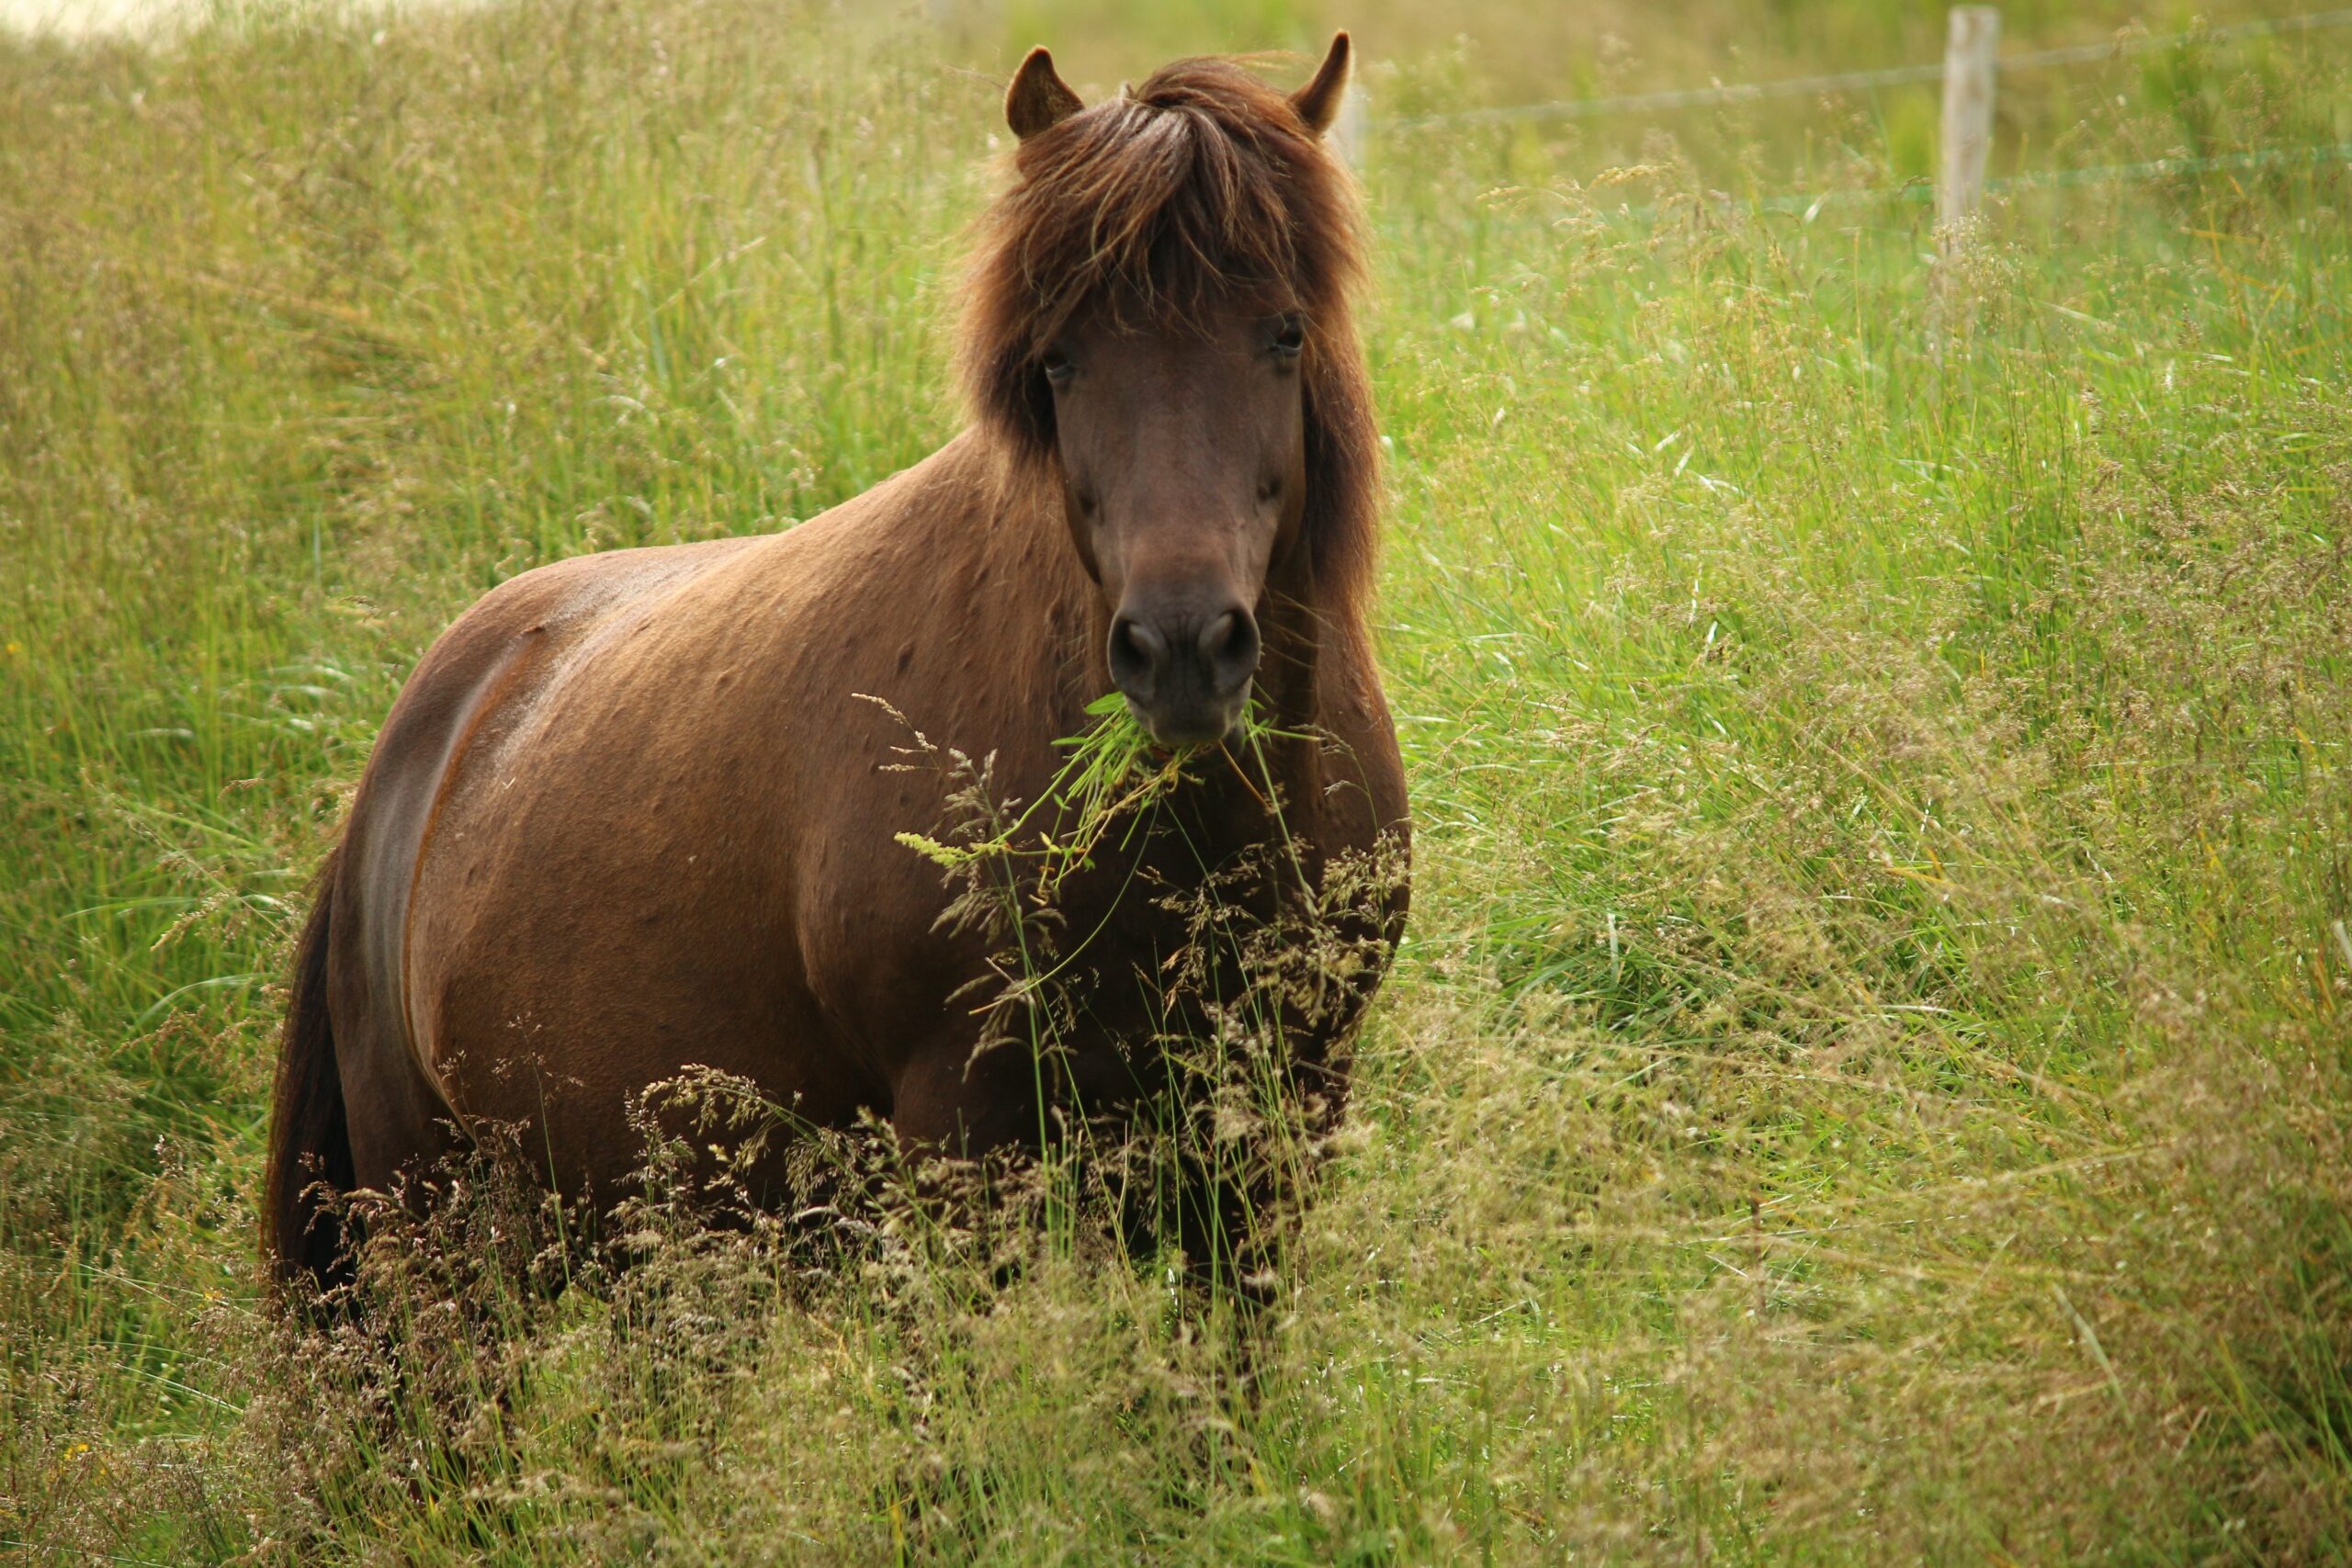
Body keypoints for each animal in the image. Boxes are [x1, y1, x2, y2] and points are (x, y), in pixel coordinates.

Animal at [263, 35, 1409, 1292]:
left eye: (1285, 331)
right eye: (1058, 362)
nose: (1183, 650)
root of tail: (410, 752)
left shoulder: (1272, 1133)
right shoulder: (964, 1144)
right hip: (431, 1231)